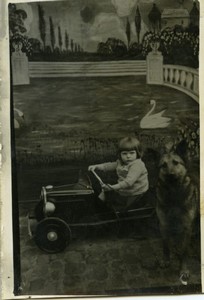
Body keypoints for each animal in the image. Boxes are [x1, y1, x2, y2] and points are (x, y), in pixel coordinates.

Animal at [156, 142, 198, 284]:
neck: (173, 195)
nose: (170, 175)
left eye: (176, 162)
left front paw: (183, 270)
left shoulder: (187, 227)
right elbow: (165, 245)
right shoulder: (163, 224)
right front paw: (166, 260)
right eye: (163, 165)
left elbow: (184, 251)